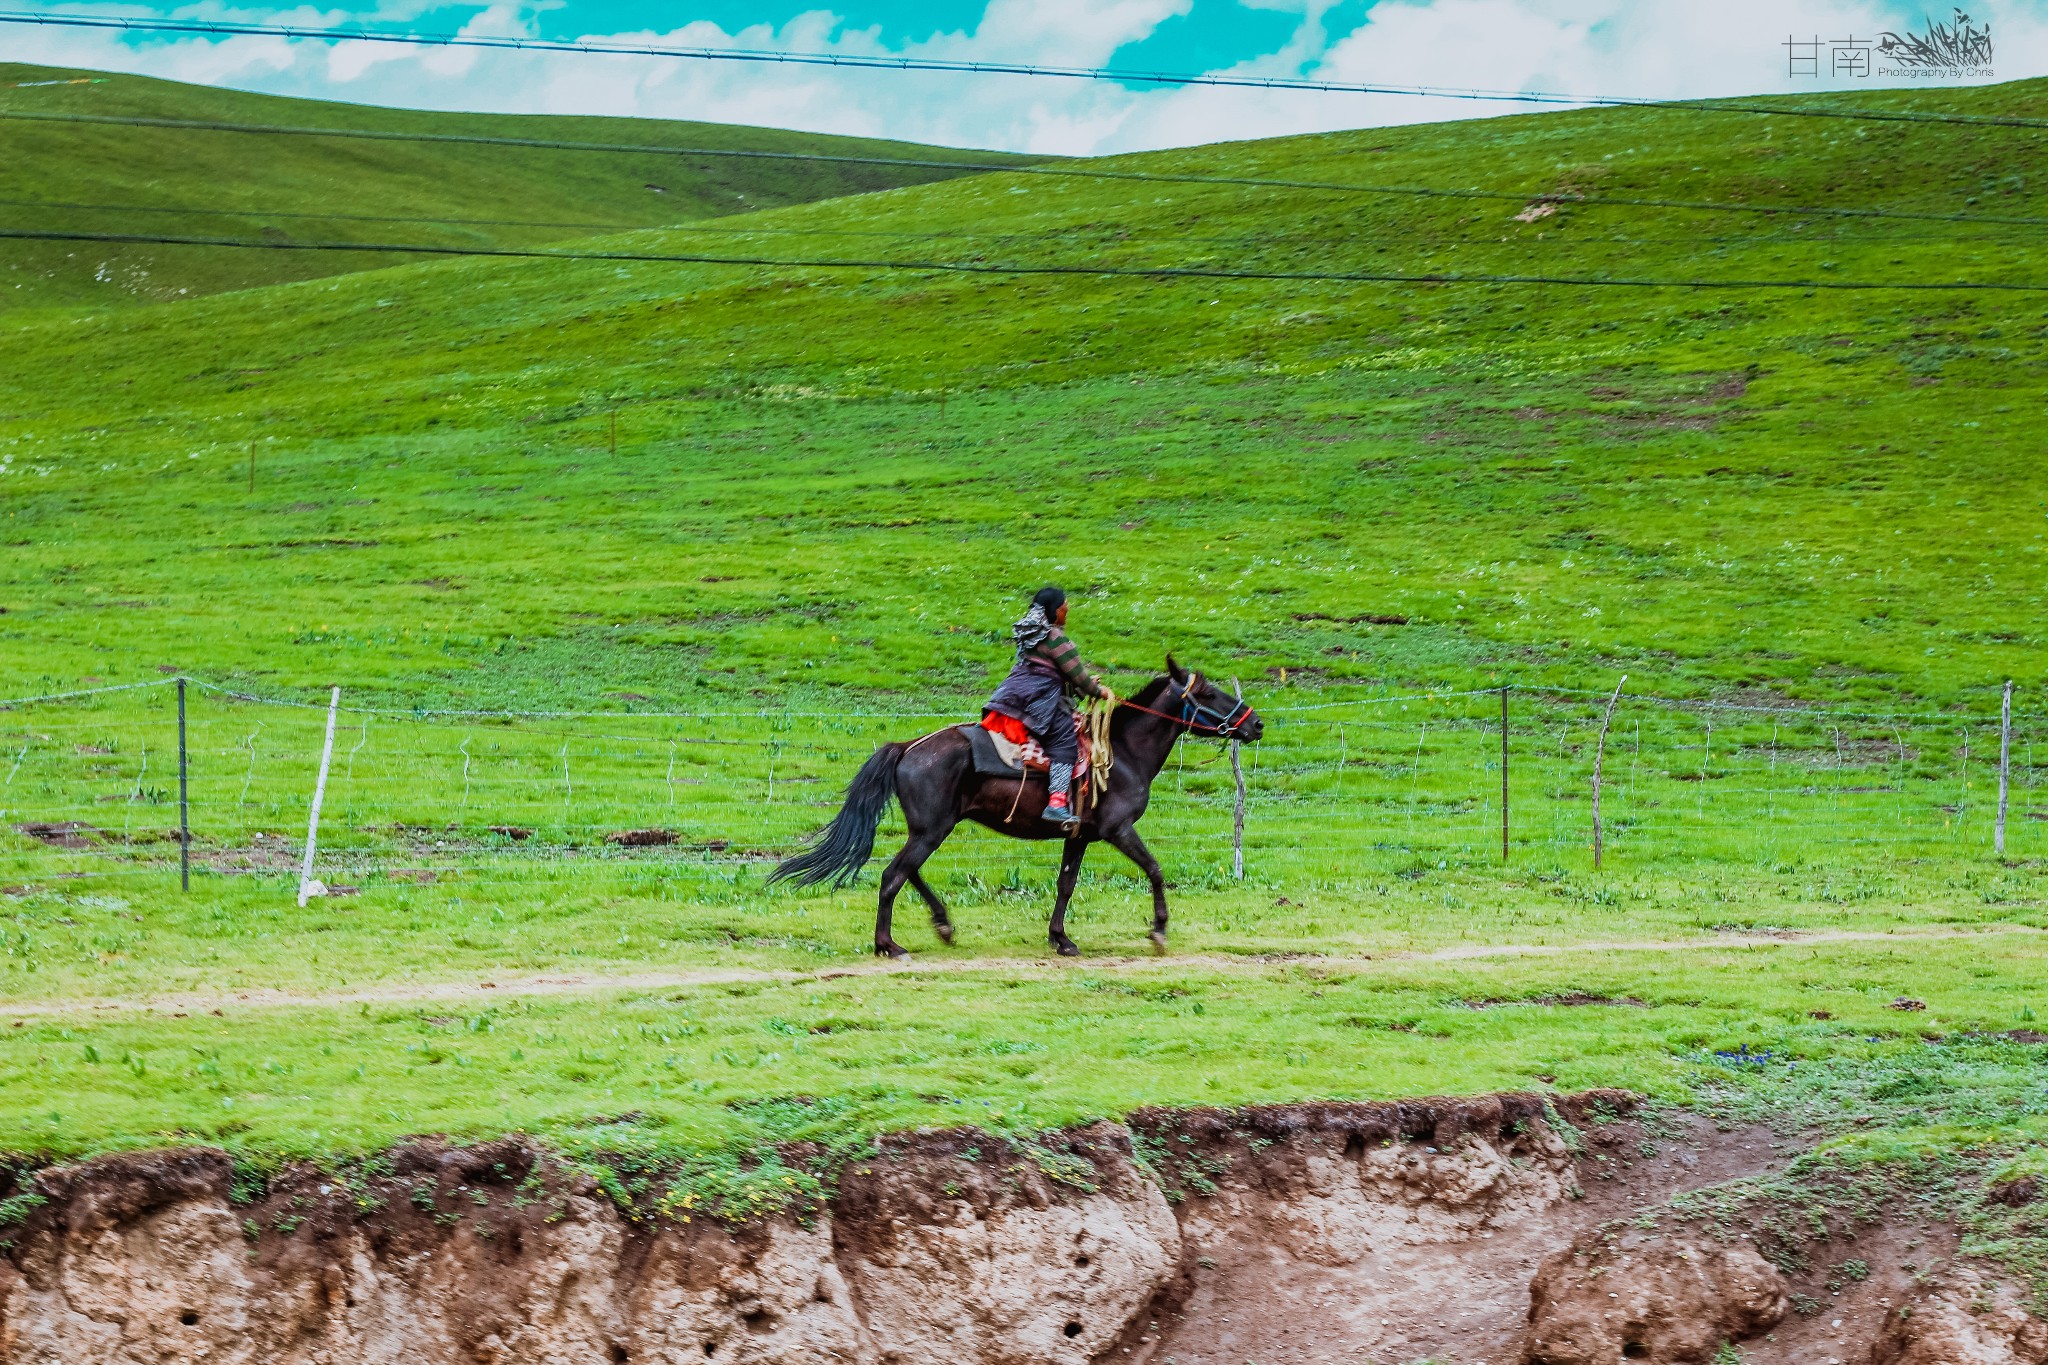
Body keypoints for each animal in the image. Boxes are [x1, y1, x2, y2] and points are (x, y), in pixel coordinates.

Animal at [765, 658, 1253, 961]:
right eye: (1210, 692)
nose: (1258, 724)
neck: (1124, 752)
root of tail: (909, 746)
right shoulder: (1118, 830)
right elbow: (1154, 869)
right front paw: (1159, 931)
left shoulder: (1079, 836)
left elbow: (1065, 885)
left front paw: (1061, 939)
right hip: (932, 830)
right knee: (892, 876)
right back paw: (890, 945)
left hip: (929, 828)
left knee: (906, 870)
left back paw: (942, 924)